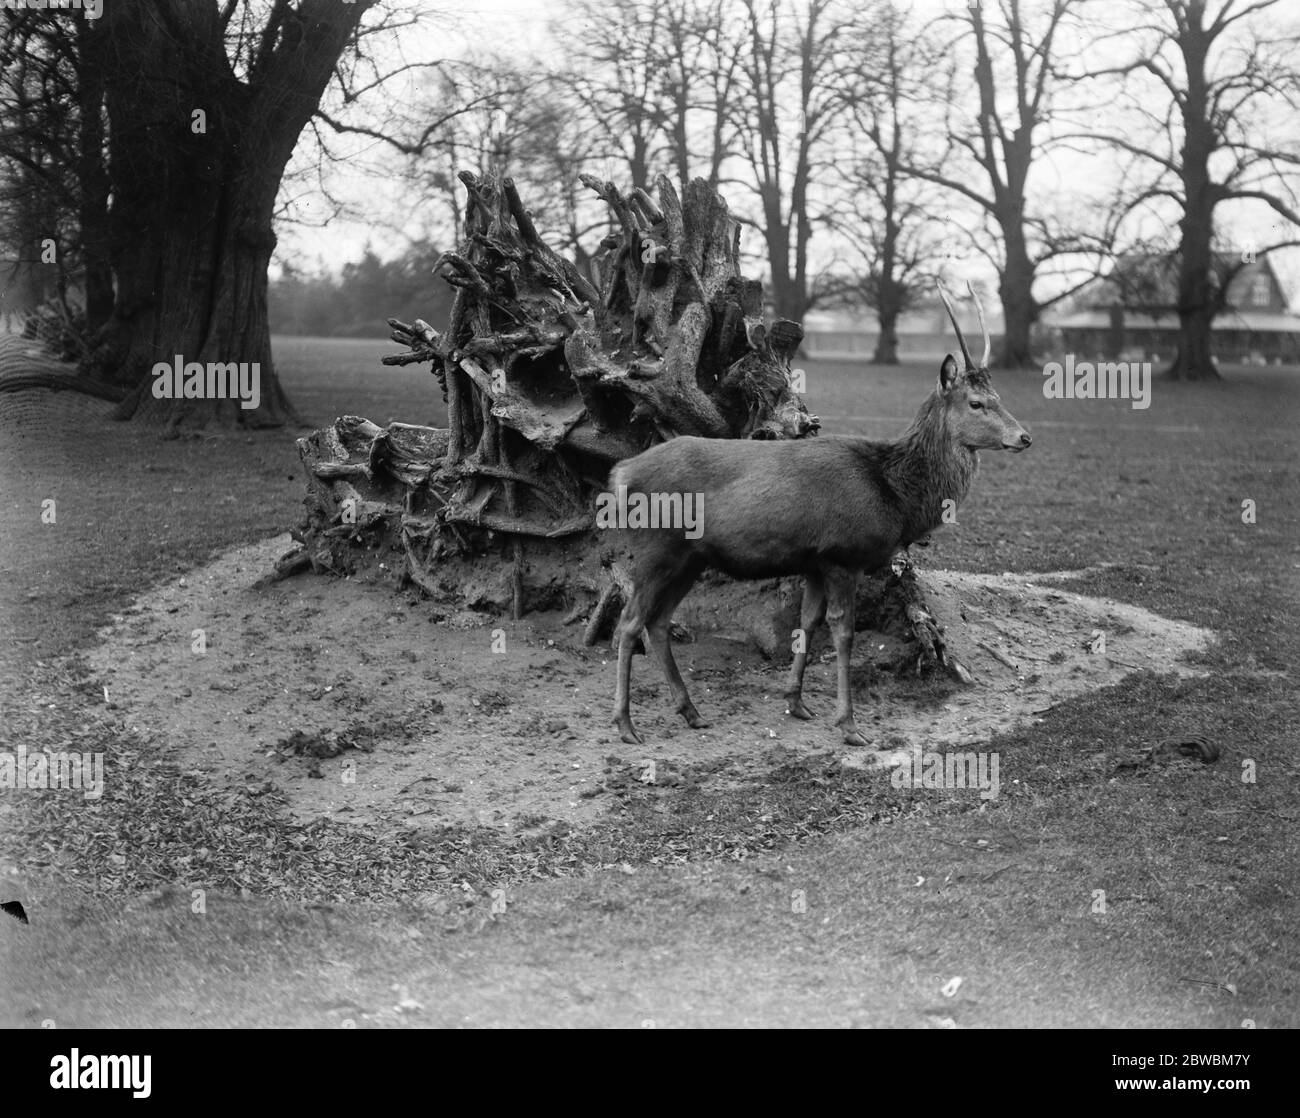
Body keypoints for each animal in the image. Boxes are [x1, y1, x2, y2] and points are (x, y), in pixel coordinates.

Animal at [603, 283, 1029, 748]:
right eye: (977, 403)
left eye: (1000, 398)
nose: (1024, 436)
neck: (894, 491)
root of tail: (621, 473)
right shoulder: (844, 555)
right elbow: (842, 633)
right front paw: (849, 725)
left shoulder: (814, 562)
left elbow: (807, 623)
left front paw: (796, 701)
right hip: (657, 547)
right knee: (630, 623)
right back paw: (625, 723)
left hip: (690, 558)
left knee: (659, 623)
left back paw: (691, 711)